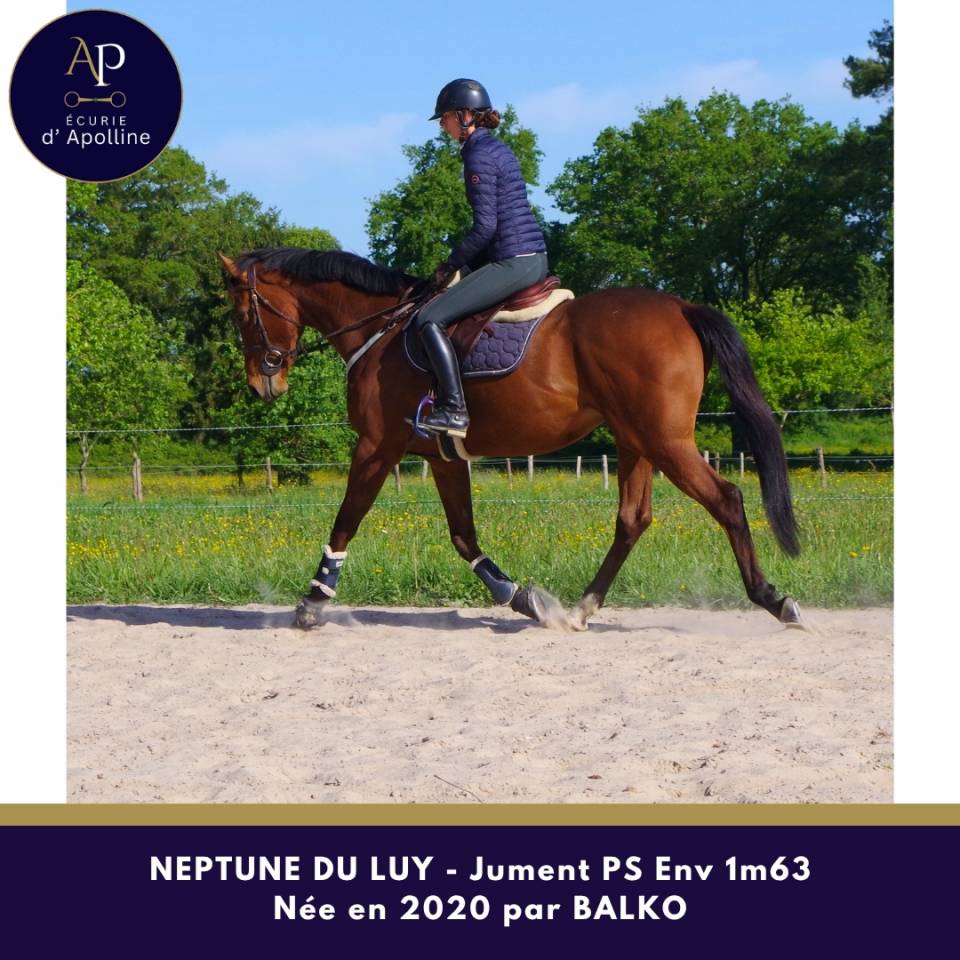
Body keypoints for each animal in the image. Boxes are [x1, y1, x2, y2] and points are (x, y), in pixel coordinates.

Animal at [218, 247, 802, 630]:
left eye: (244, 313)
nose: (264, 383)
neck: (380, 329)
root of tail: (680, 306)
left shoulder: (376, 448)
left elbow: (346, 522)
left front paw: (312, 601)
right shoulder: (444, 457)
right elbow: (463, 537)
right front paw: (522, 597)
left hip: (664, 441)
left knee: (726, 499)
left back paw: (772, 598)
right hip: (635, 441)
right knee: (633, 520)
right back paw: (581, 608)